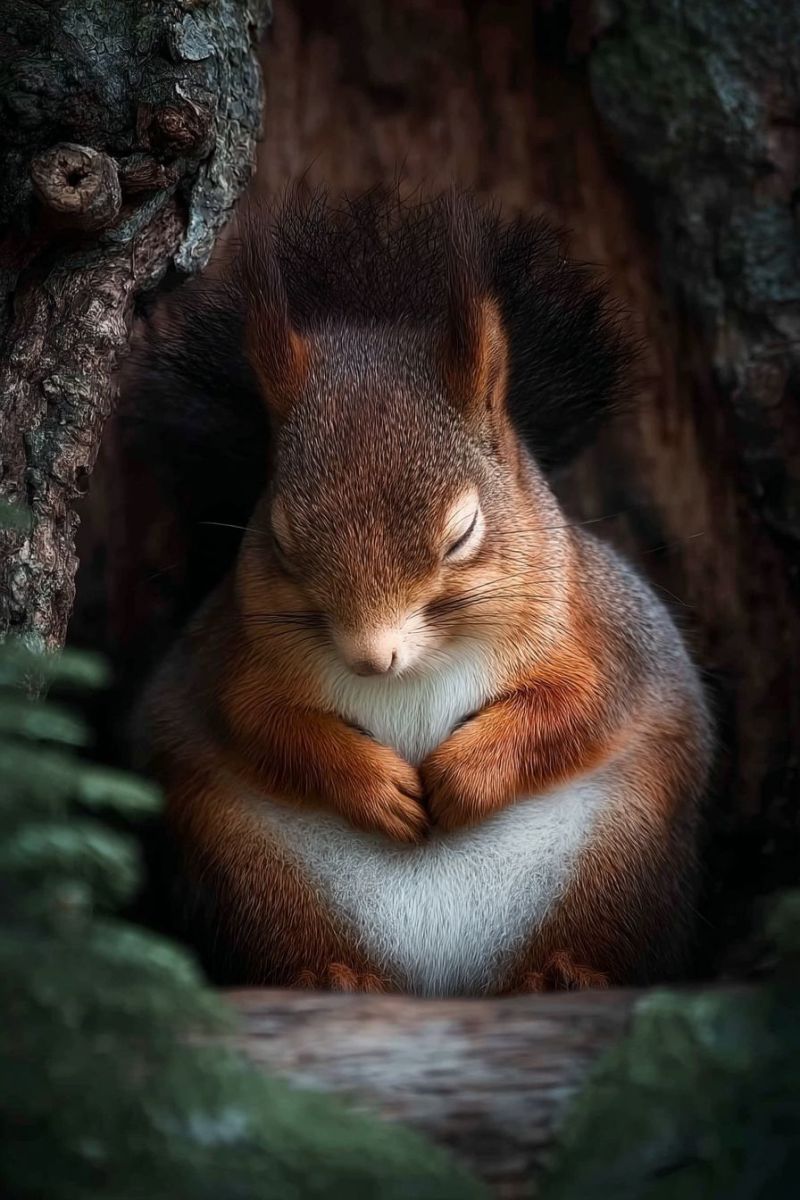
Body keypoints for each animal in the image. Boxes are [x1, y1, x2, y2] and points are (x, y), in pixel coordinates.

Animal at [132, 187, 713, 995]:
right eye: (277, 535)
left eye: (464, 530)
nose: (371, 659)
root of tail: (440, 983)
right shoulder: (223, 658)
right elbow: (260, 725)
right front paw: (379, 789)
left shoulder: (608, 636)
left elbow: (576, 709)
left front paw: (460, 779)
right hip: (245, 865)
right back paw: (329, 978)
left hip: (626, 848)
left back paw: (562, 976)